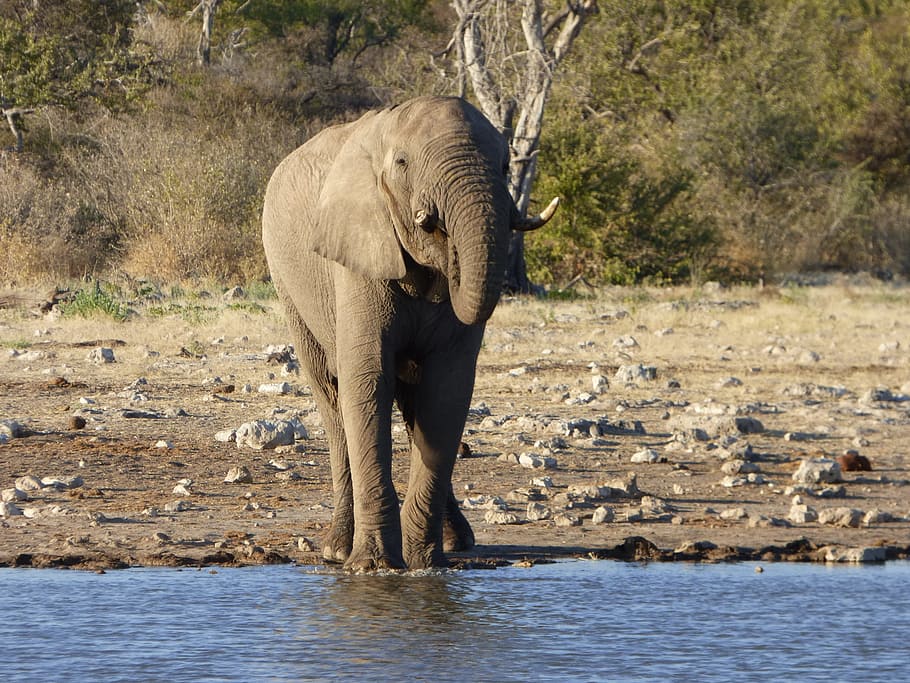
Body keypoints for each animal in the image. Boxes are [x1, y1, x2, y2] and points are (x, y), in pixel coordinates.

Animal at [261, 96, 558, 571]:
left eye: (504, 163)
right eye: (402, 163)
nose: (437, 229)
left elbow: (445, 393)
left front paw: (425, 564)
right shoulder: (358, 255)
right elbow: (367, 382)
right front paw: (374, 567)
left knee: (414, 404)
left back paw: (457, 543)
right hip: (288, 285)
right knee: (331, 397)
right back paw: (337, 549)